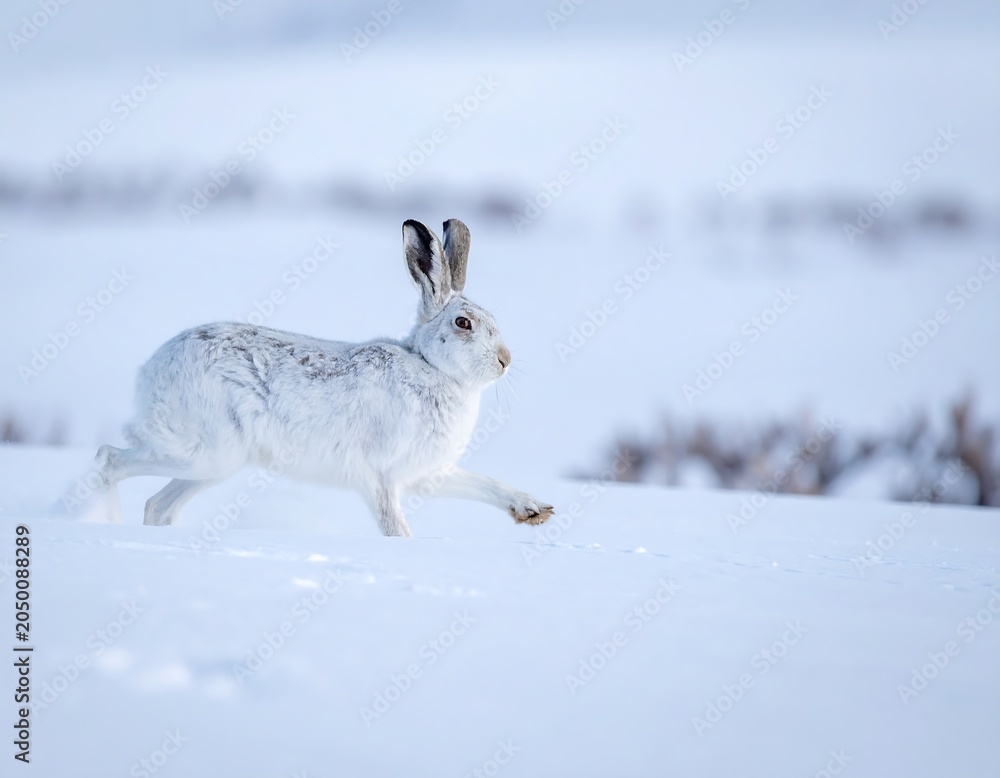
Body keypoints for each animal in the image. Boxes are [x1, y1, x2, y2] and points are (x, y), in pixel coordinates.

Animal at [86, 219, 554, 537]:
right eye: (463, 323)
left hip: (215, 464)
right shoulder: (381, 476)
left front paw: (533, 510)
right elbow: (394, 526)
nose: (505, 360)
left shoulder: (426, 473)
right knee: (108, 460)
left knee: (157, 506)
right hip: (204, 452)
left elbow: (484, 484)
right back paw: (103, 525)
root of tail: (151, 369)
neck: (429, 365)